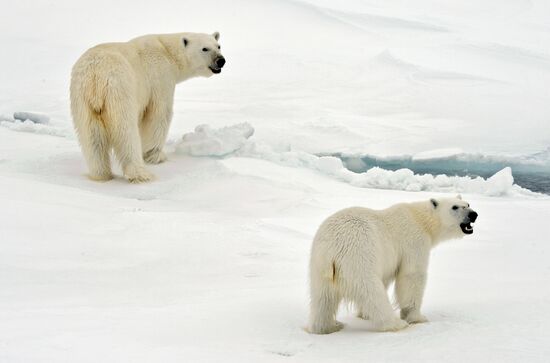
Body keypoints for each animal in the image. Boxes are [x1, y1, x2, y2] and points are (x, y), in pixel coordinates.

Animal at [70, 32, 225, 183]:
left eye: (218, 46)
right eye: (204, 48)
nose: (221, 60)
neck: (168, 52)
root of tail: (96, 75)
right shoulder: (160, 76)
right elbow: (159, 114)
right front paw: (157, 156)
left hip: (82, 99)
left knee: (92, 136)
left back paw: (101, 175)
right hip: (120, 89)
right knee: (126, 130)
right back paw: (140, 174)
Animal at [310, 196, 478, 336]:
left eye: (468, 204)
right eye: (455, 207)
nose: (473, 214)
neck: (420, 219)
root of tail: (330, 246)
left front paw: (364, 315)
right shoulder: (414, 241)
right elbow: (412, 276)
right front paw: (417, 317)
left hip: (319, 266)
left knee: (323, 298)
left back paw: (328, 327)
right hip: (358, 255)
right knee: (371, 290)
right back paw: (395, 323)